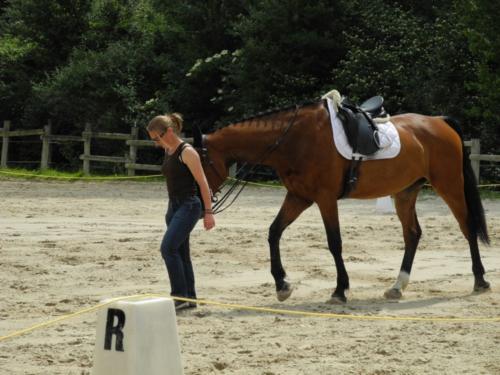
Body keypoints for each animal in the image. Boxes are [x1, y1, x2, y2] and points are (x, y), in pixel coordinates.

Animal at [193, 100, 490, 306]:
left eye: (200, 163)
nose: (199, 202)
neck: (294, 139)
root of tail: (440, 121)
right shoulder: (299, 197)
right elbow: (274, 232)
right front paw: (282, 285)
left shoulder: (324, 199)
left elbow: (334, 243)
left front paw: (339, 290)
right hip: (405, 193)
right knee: (412, 234)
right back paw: (397, 286)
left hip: (449, 185)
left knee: (467, 227)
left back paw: (480, 280)